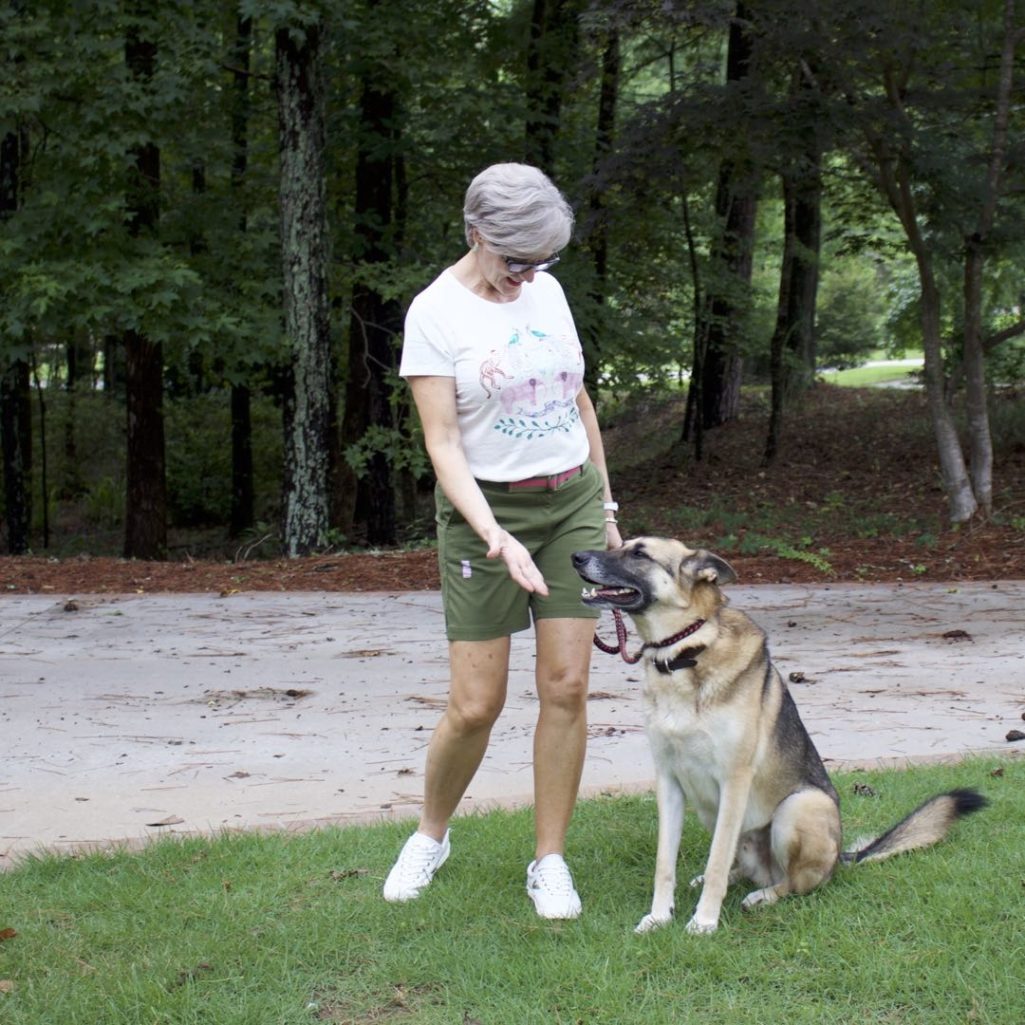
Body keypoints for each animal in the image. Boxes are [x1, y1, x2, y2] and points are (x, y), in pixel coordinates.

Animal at [574, 541, 988, 934]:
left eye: (639, 553)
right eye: (621, 544)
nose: (576, 557)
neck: (684, 653)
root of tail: (841, 858)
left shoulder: (734, 780)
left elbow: (718, 859)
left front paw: (704, 922)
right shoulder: (669, 783)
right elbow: (666, 864)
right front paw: (659, 918)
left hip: (800, 805)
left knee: (794, 883)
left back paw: (763, 896)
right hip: (715, 813)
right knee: (740, 867)